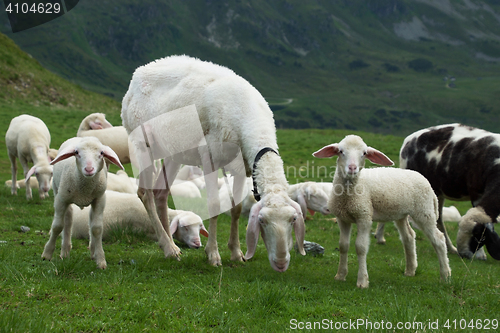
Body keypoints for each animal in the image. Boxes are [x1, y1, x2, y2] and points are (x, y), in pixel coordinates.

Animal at [41, 136, 123, 268]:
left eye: (101, 153)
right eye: (76, 152)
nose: (89, 169)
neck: (84, 189)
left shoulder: (100, 199)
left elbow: (97, 228)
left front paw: (100, 260)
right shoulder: (61, 200)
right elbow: (57, 226)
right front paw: (47, 254)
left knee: (90, 220)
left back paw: (92, 251)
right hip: (58, 190)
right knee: (68, 220)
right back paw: (65, 252)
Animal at [123, 55, 306, 272]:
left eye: (293, 219)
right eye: (262, 220)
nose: (281, 264)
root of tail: (140, 71)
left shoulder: (241, 167)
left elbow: (236, 208)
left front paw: (236, 253)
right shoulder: (209, 156)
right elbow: (214, 204)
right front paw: (212, 254)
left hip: (174, 152)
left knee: (161, 193)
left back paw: (173, 246)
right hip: (141, 143)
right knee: (145, 194)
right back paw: (167, 247)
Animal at [312, 135, 450, 288]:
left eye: (364, 153)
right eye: (341, 151)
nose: (352, 168)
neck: (348, 194)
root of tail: (425, 180)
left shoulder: (364, 216)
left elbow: (360, 247)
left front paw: (362, 281)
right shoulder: (342, 218)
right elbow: (343, 246)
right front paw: (340, 276)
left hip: (424, 210)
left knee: (438, 239)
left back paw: (445, 276)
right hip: (401, 214)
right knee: (408, 236)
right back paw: (410, 270)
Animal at [398, 122, 500, 260]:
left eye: (479, 235)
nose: (464, 255)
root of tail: (408, 139)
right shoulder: (476, 193)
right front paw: (481, 255)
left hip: (436, 193)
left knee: (439, 220)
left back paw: (451, 249)